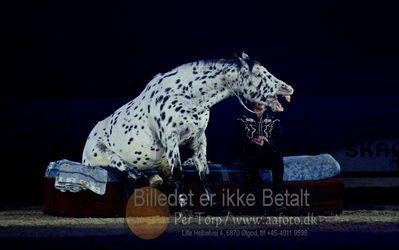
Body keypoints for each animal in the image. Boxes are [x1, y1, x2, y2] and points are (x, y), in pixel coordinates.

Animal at [82, 52, 294, 209]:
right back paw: (143, 177)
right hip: (102, 153)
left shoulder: (199, 139)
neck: (185, 96)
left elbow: (204, 174)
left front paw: (217, 207)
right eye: (258, 74)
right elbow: (179, 173)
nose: (288, 88)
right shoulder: (171, 139)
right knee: (123, 167)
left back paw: (154, 179)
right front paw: (185, 208)